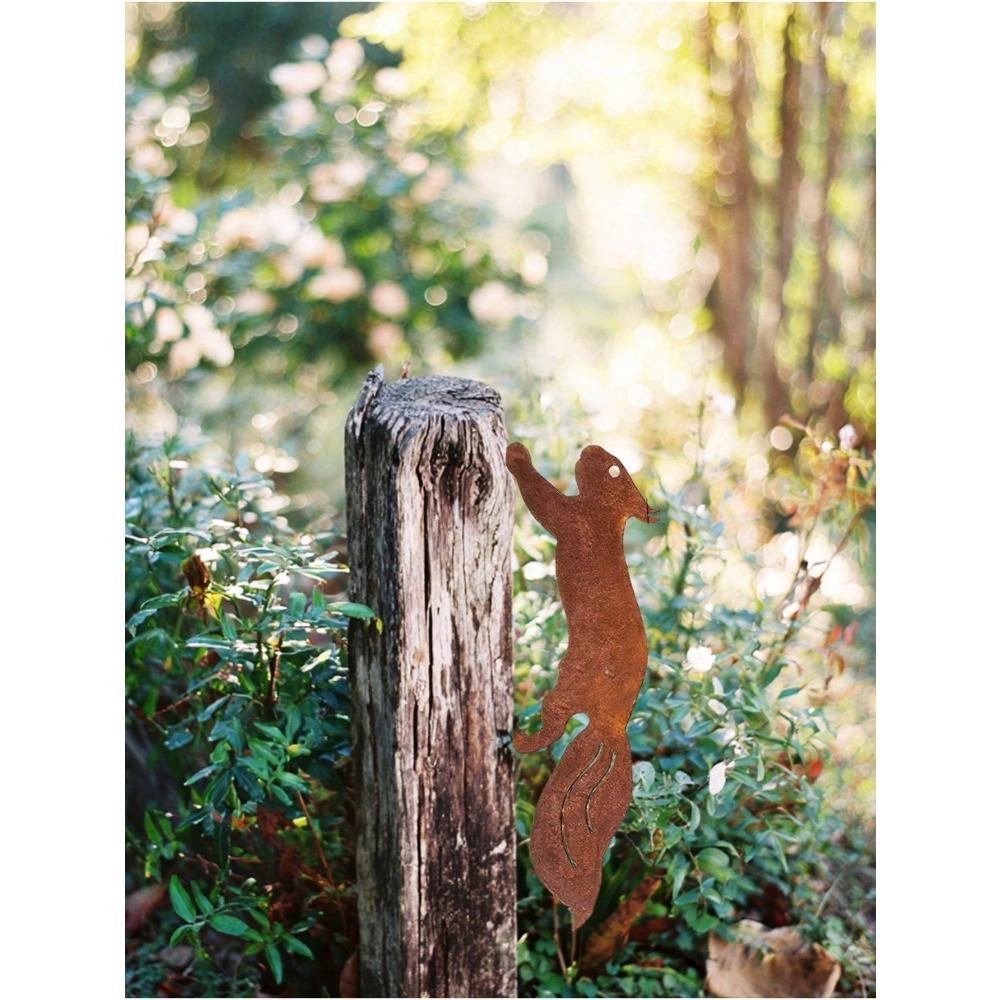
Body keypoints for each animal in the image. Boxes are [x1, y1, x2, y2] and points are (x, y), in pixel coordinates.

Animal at [506, 441, 656, 927]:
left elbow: (543, 501)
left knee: (553, 723)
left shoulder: (572, 518)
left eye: (613, 470)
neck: (606, 517)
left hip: (569, 682)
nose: (589, 450)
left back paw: (520, 738)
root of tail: (612, 727)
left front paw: (517, 455)